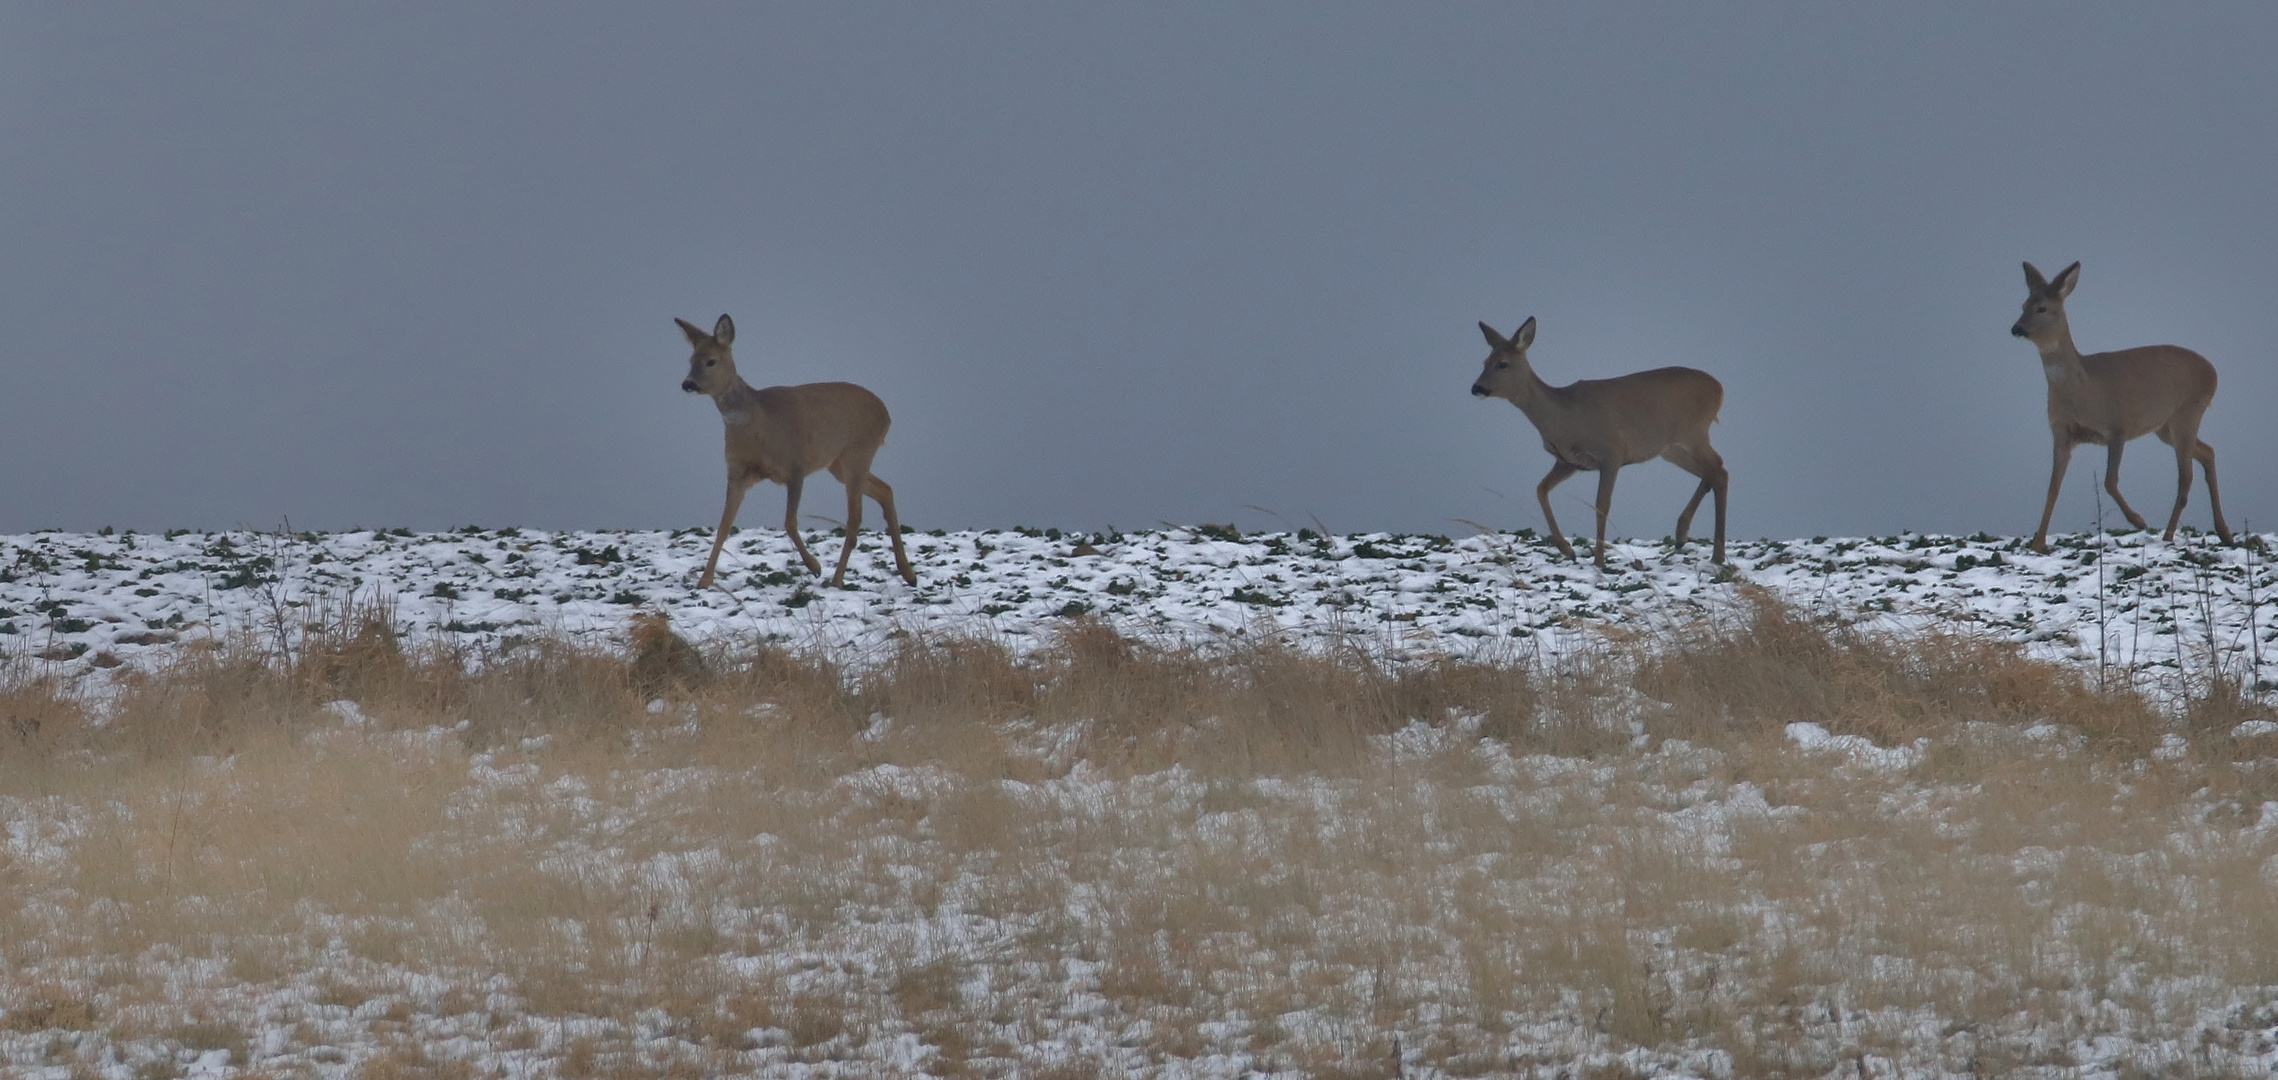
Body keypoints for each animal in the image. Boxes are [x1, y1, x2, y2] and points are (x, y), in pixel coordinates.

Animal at [674, 312, 915, 592]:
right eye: (691, 360)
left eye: (711, 361)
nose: (687, 384)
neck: (759, 422)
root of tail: (886, 412)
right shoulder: (738, 473)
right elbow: (723, 525)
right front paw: (704, 580)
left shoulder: (795, 465)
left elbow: (789, 522)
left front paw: (814, 566)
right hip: (838, 463)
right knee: (885, 490)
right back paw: (909, 574)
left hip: (860, 450)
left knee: (854, 517)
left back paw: (837, 579)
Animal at [1467, 316, 1731, 569]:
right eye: (1485, 362)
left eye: (1503, 363)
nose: (1476, 388)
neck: (1563, 416)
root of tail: (1719, 388)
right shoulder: (1567, 462)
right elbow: (1541, 489)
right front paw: (1568, 550)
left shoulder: (1612, 452)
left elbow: (1601, 505)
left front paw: (1599, 560)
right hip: (1672, 449)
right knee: (1714, 470)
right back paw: (1682, 536)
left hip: (1693, 431)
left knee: (1719, 471)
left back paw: (1716, 555)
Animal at [2013, 259, 2223, 549]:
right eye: (2023, 305)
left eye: (2042, 307)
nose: (2016, 329)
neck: (2084, 391)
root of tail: (2213, 370)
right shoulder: (2061, 433)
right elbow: (2053, 488)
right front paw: (2037, 543)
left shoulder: (2117, 425)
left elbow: (2109, 481)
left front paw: (2139, 520)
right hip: (2165, 427)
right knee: (2207, 452)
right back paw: (2224, 532)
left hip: (2189, 411)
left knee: (2186, 476)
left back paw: (2169, 535)